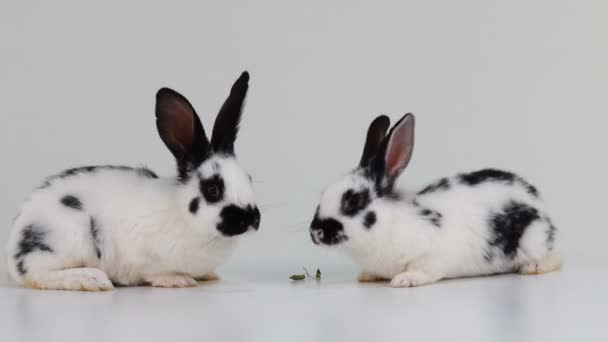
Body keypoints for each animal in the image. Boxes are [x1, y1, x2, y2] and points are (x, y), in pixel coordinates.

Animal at [6, 71, 258, 292]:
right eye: (213, 188)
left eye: (249, 178)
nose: (252, 219)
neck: (181, 213)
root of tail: (13, 249)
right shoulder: (144, 254)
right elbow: (157, 272)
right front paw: (178, 280)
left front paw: (209, 275)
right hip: (64, 240)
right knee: (37, 275)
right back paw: (91, 279)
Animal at [312, 113, 564, 288]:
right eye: (322, 193)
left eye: (353, 201)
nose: (315, 232)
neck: (390, 223)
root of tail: (538, 202)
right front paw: (366, 276)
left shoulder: (430, 256)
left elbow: (422, 270)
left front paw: (404, 280)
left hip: (534, 238)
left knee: (555, 258)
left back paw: (533, 267)